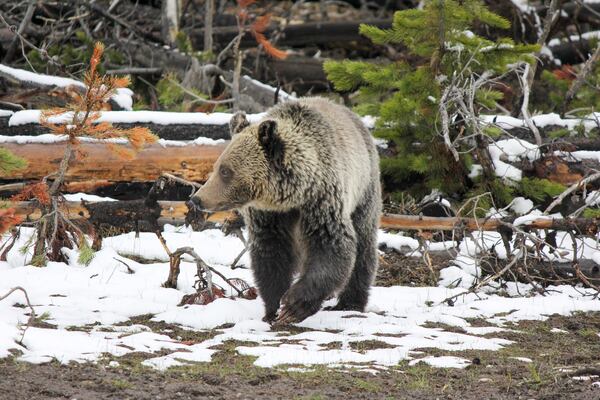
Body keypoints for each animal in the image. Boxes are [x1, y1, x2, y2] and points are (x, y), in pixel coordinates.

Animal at [190, 97, 382, 324]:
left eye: (226, 171)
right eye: (217, 167)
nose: (197, 198)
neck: (290, 197)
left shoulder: (322, 201)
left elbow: (331, 247)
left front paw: (293, 305)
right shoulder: (270, 216)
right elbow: (272, 255)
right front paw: (273, 309)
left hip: (364, 189)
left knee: (364, 244)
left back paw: (350, 302)